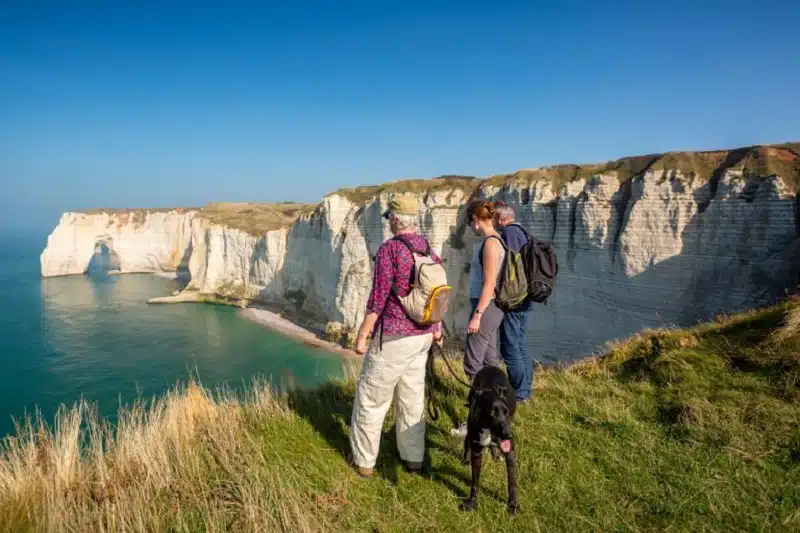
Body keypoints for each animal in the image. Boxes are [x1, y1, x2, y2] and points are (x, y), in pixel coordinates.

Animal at [460, 364, 520, 512]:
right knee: (466, 440)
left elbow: (512, 483)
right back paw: (465, 459)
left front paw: (513, 505)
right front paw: (471, 502)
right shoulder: (477, 452)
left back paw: (496, 454)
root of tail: (490, 366)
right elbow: (475, 481)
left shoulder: (510, 452)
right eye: (492, 413)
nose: (509, 435)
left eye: (506, 412)